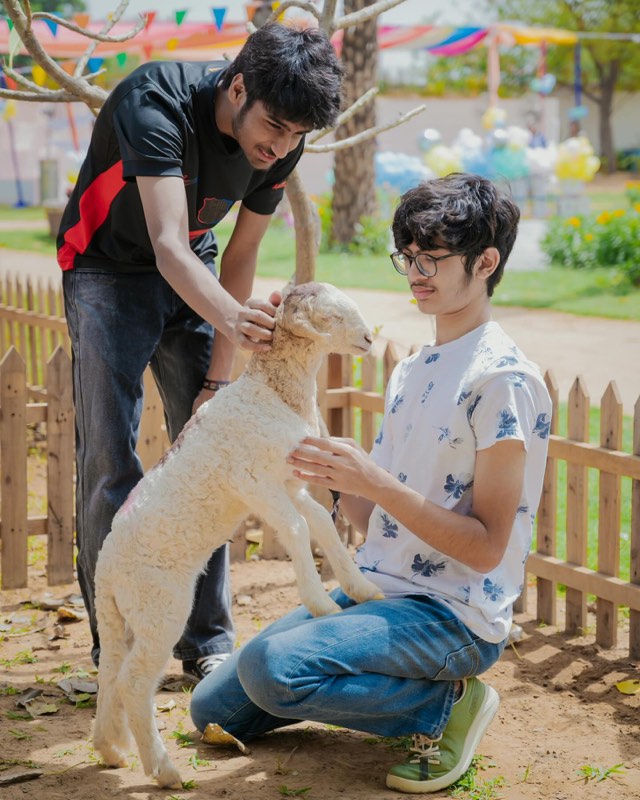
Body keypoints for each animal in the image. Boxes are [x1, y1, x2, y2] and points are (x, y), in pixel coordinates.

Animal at [92, 281, 384, 789]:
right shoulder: (254, 482)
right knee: (132, 682)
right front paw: (321, 605)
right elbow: (297, 528)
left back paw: (110, 749)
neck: (274, 395)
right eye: (329, 315)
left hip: (121, 618)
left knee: (109, 672)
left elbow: (321, 523)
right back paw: (164, 770)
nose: (368, 339)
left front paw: (361, 589)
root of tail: (105, 569)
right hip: (160, 607)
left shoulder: (290, 482)